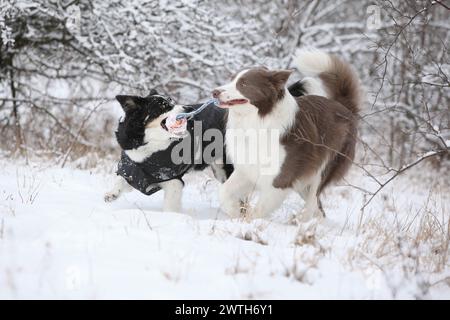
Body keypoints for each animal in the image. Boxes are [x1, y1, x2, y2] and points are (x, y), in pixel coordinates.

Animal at [104, 89, 234, 211]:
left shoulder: (173, 180)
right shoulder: (134, 170)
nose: (189, 108)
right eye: (163, 106)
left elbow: (170, 207)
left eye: (171, 101)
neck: (148, 145)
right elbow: (121, 179)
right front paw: (112, 194)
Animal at [213, 50, 364, 220]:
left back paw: (301, 220)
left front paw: (248, 221)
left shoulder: (280, 178)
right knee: (319, 209)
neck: (258, 119)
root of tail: (345, 108)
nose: (214, 92)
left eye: (243, 84)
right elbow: (223, 191)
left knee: (313, 198)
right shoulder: (247, 169)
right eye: (231, 79)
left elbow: (260, 209)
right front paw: (235, 212)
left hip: (325, 166)